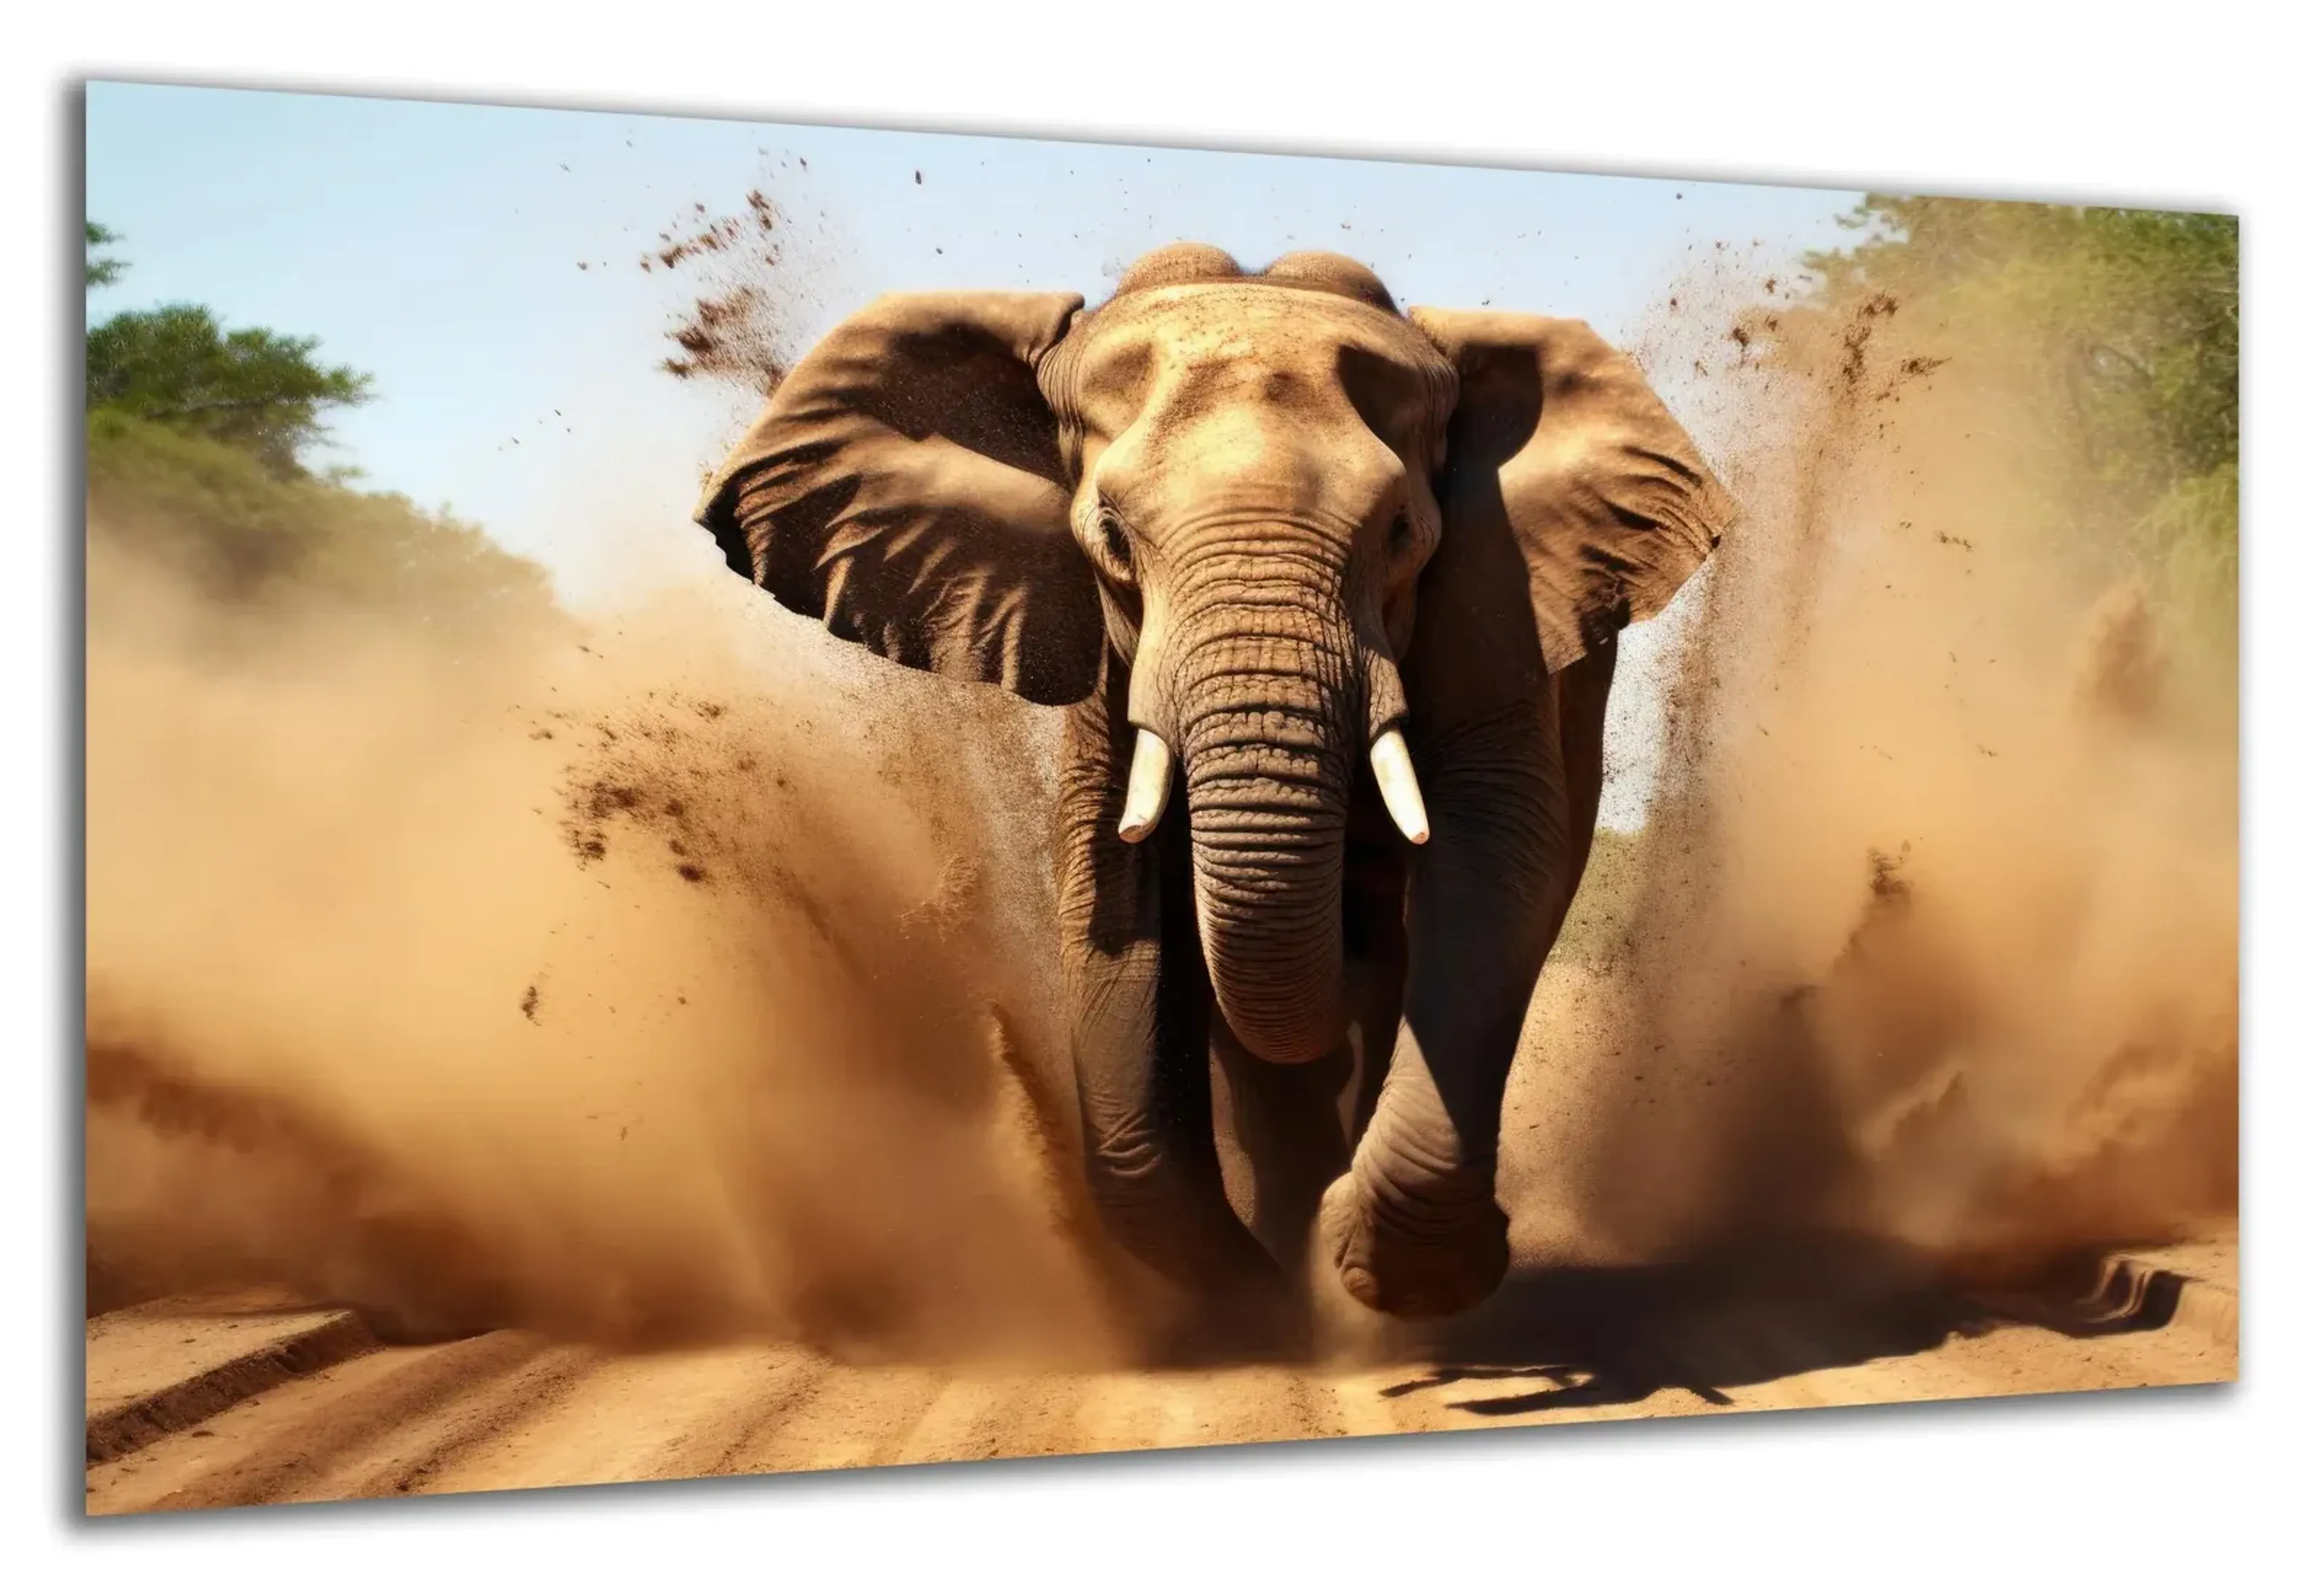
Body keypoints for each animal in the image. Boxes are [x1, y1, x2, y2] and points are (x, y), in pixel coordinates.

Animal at [691, 242, 1739, 1342]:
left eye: (1403, 534)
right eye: (1110, 536)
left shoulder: (1503, 606)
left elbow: (1496, 862)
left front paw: (1389, 1281)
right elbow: (1111, 888)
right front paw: (1264, 1299)